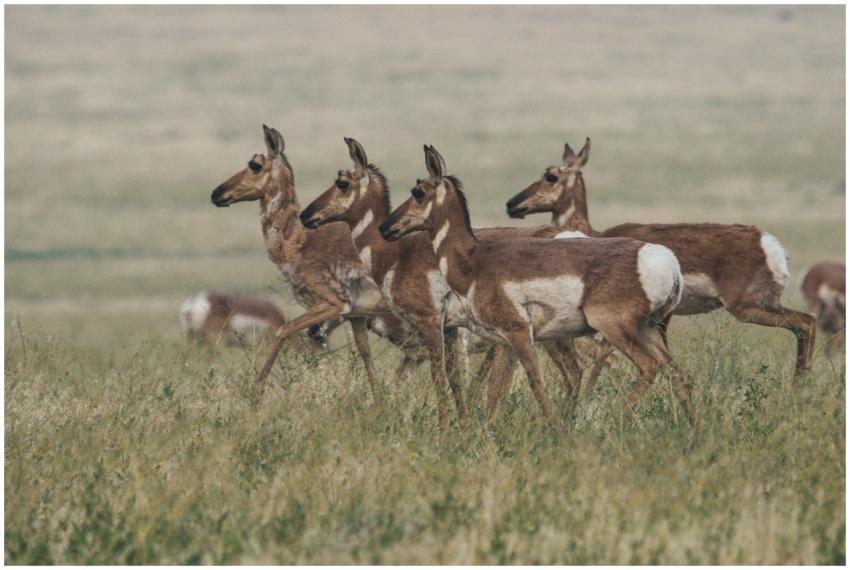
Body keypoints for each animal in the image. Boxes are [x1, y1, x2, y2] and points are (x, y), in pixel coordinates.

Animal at [210, 125, 392, 401]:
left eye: (255, 164)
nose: (216, 193)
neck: (301, 240)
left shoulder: (332, 304)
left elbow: (284, 330)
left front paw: (256, 393)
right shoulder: (356, 315)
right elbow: (365, 353)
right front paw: (379, 402)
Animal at [380, 145, 696, 429]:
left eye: (418, 192)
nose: (385, 227)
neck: (472, 261)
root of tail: (665, 260)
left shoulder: (520, 334)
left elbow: (536, 386)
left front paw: (557, 431)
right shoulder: (503, 342)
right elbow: (493, 392)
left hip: (614, 327)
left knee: (650, 368)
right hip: (648, 330)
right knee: (680, 377)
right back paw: (693, 432)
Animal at [507, 138, 817, 376]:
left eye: (551, 176)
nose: (512, 204)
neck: (596, 233)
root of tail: (768, 242)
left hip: (748, 308)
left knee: (806, 323)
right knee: (806, 325)